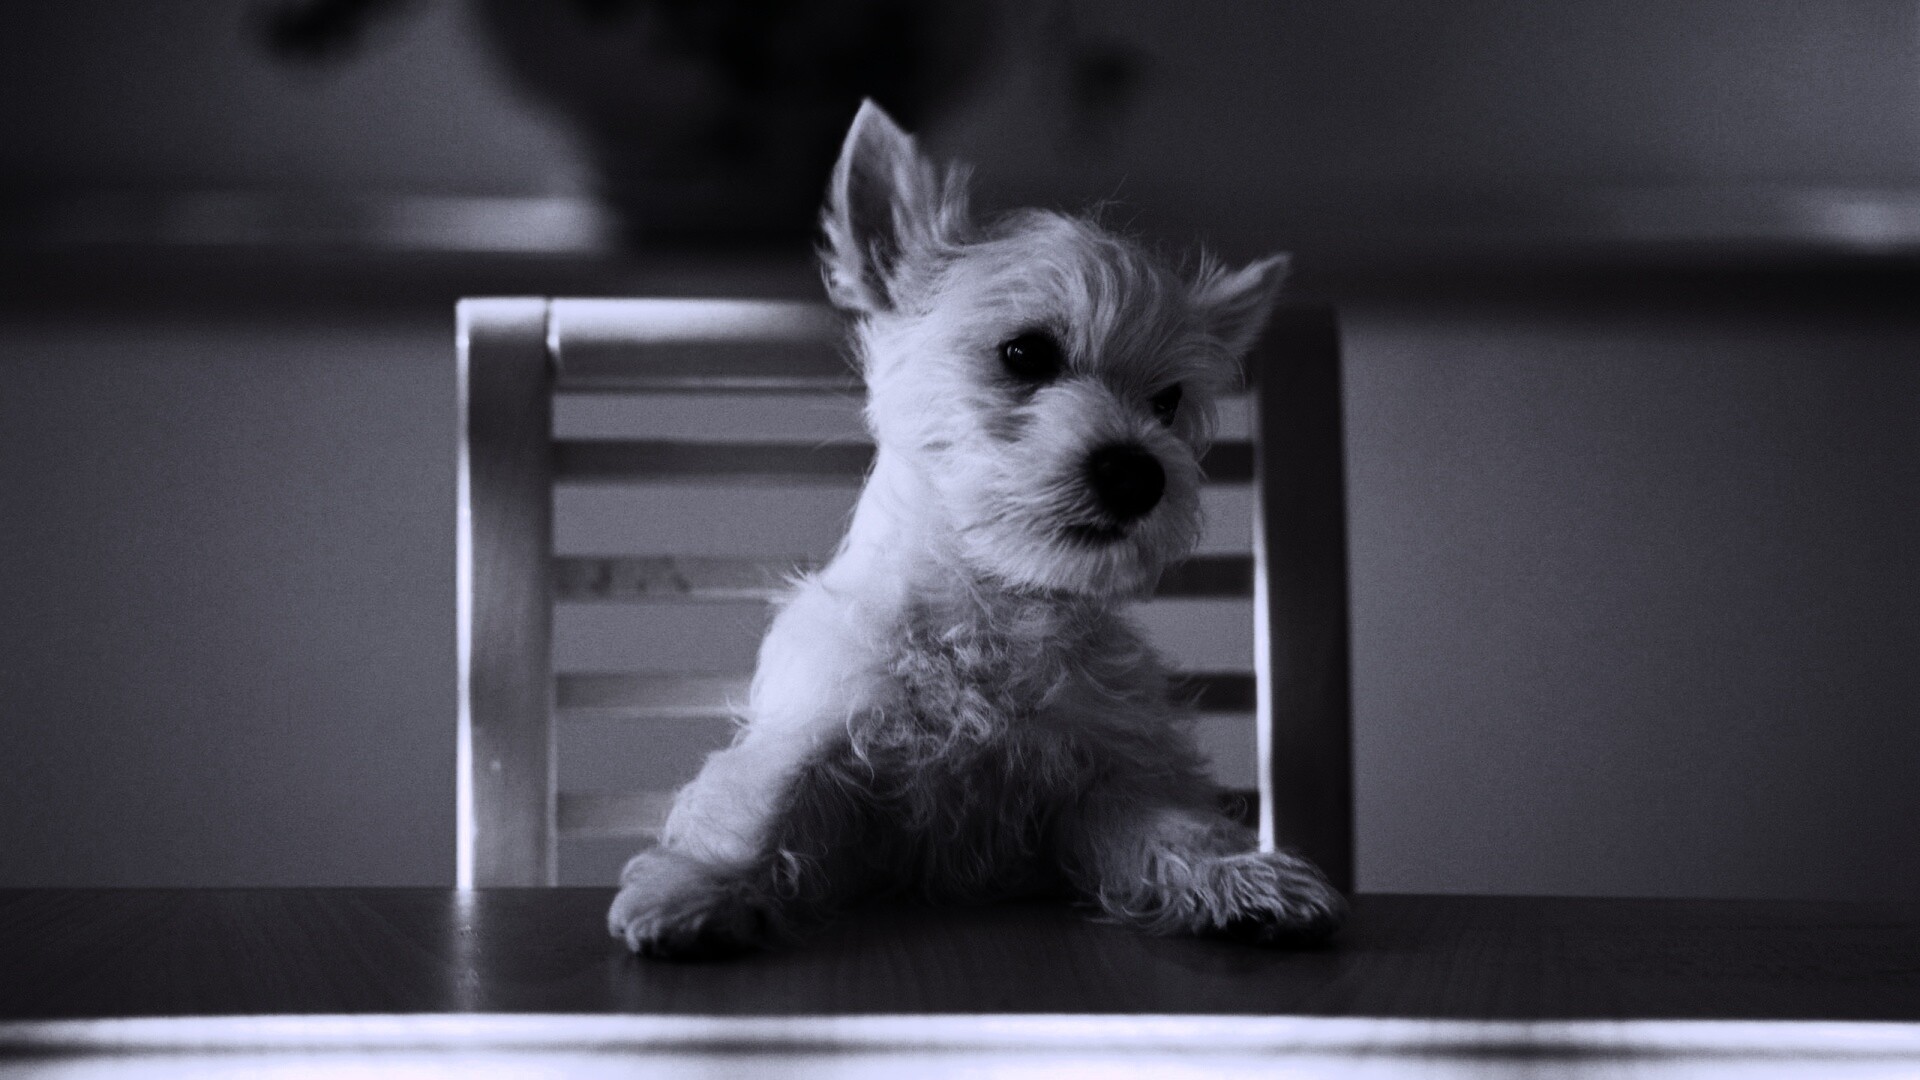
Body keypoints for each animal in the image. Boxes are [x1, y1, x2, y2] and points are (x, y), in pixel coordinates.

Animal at [609, 100, 1346, 958]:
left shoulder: (1106, 779)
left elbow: (1173, 828)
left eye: (1167, 402)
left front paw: (1239, 876)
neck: (990, 605)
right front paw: (704, 884)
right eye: (1025, 353)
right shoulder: (824, 737)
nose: (1140, 474)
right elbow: (763, 803)